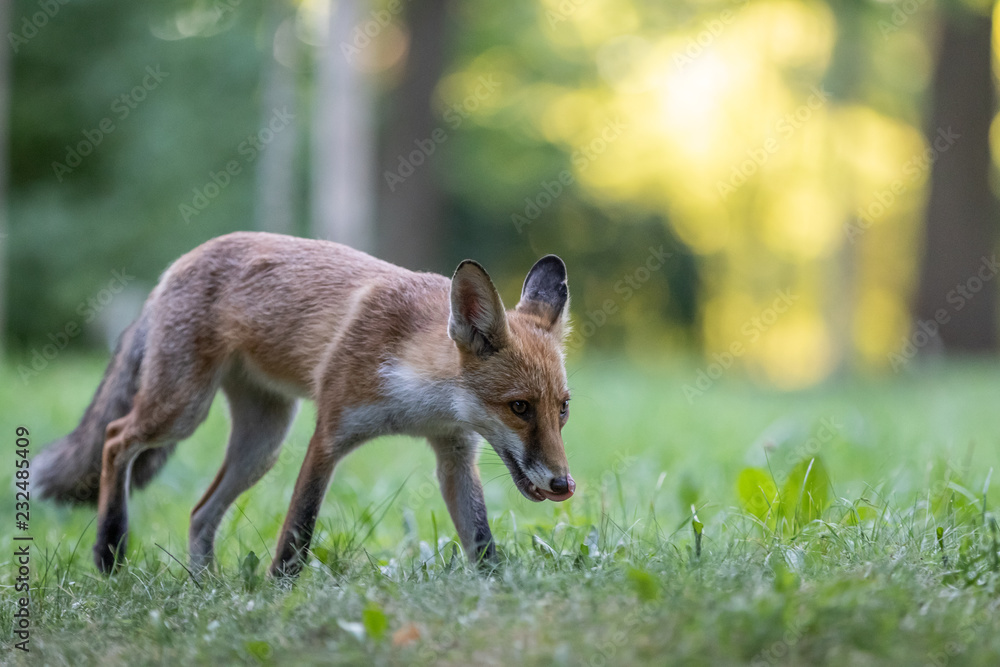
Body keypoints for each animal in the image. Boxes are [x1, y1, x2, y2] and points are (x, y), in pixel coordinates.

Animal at [33, 232, 575, 577]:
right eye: (520, 407)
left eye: (562, 409)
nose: (564, 485)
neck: (420, 399)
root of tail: (184, 259)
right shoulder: (330, 433)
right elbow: (298, 533)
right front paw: (279, 595)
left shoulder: (454, 454)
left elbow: (482, 541)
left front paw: (497, 593)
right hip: (181, 410)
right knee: (115, 438)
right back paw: (110, 551)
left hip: (261, 445)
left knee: (200, 512)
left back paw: (204, 588)